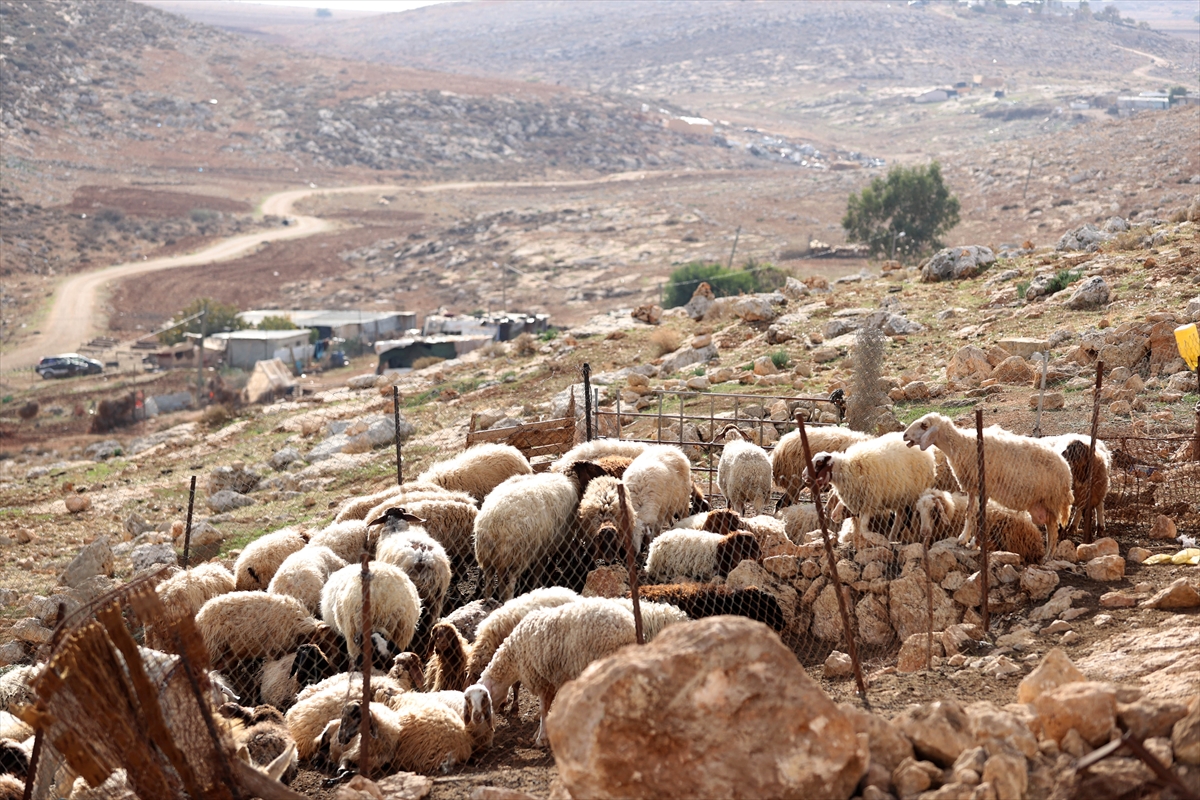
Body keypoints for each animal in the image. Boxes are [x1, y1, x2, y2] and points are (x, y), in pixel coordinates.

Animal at [472, 597, 638, 748]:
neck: (514, 656)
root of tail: (629, 626)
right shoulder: (554, 679)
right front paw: (540, 733)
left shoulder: (542, 680)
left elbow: (543, 709)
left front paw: (541, 738)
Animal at [806, 431, 936, 551]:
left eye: (819, 462)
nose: (804, 476)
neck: (846, 468)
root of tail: (928, 453)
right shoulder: (859, 500)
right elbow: (858, 526)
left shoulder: (869, 501)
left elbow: (863, 528)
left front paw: (876, 539)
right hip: (900, 495)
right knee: (900, 516)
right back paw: (892, 538)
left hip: (914, 493)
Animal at [902, 412, 1075, 563]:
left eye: (924, 425)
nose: (904, 435)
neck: (963, 445)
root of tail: (1067, 469)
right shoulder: (972, 487)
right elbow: (969, 513)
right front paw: (963, 539)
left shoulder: (985, 487)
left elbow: (980, 516)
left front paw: (975, 543)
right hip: (1043, 503)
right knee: (1050, 526)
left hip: (1052, 499)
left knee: (1053, 530)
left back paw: (1048, 556)